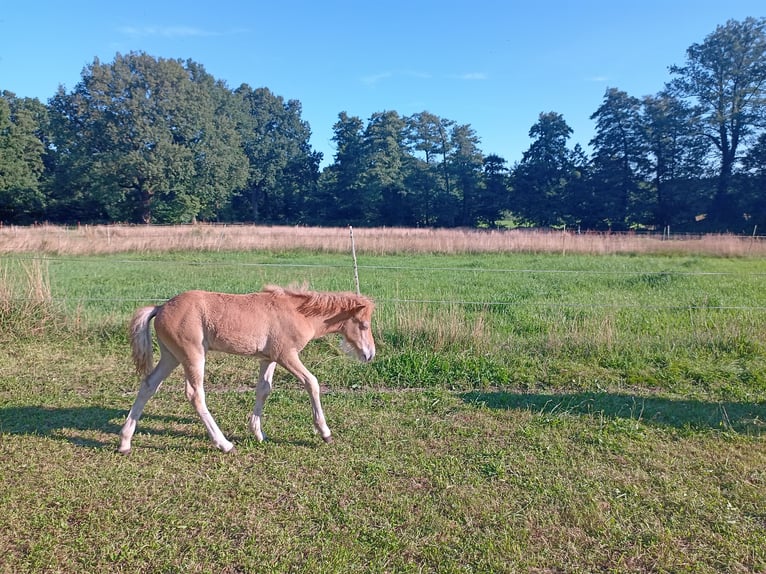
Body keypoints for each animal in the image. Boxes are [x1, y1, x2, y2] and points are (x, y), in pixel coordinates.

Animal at [116, 286, 376, 454]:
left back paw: (125, 443)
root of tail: (161, 307)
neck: (298, 312)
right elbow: (311, 382)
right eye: (363, 324)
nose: (369, 354)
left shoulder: (268, 358)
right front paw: (325, 433)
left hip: (171, 357)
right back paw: (225, 445)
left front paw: (258, 433)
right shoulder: (287, 355)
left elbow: (264, 389)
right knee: (195, 394)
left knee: (149, 385)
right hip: (193, 355)